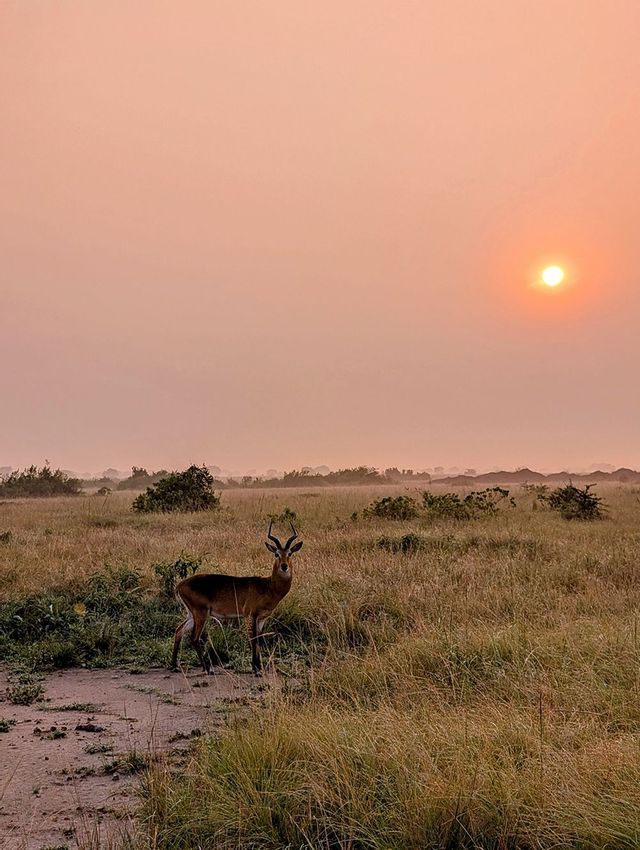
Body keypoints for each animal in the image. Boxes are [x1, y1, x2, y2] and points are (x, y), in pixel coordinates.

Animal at [170, 521, 303, 675]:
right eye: (276, 554)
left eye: (290, 553)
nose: (284, 566)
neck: (268, 586)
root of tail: (180, 585)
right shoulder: (249, 615)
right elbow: (253, 640)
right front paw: (256, 669)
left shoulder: (262, 619)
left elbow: (259, 640)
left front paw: (259, 667)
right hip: (201, 614)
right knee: (194, 638)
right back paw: (207, 669)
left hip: (192, 614)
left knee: (179, 631)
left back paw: (174, 666)